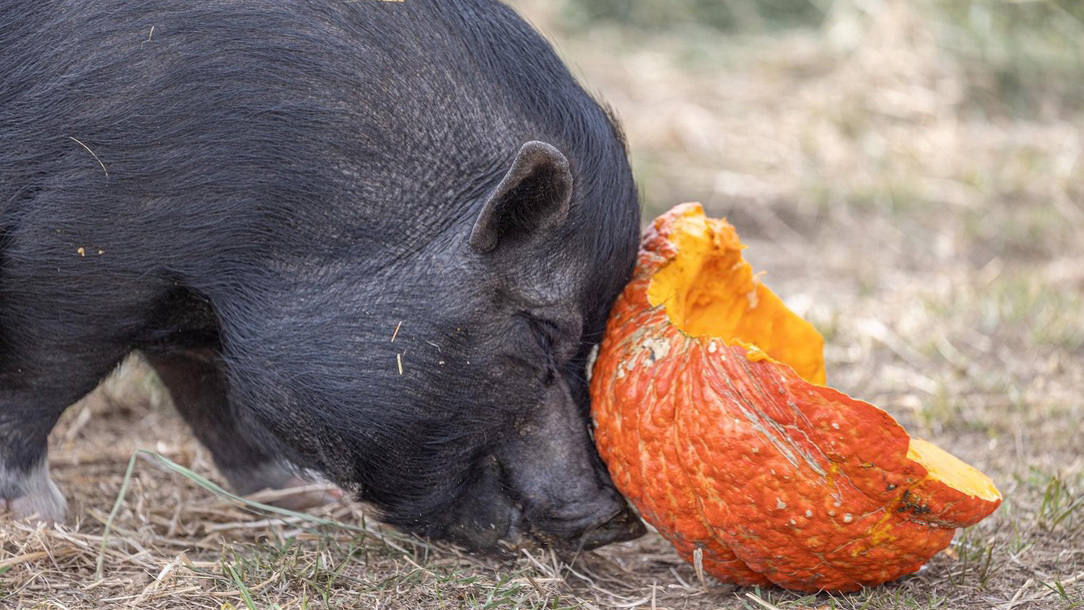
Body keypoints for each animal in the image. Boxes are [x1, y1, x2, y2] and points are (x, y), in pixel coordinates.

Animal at [0, 0, 646, 552]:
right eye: (543, 330)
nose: (618, 519)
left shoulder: (189, 302)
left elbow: (211, 394)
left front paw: (311, 499)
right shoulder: (75, 259)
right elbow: (38, 382)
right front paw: (43, 518)